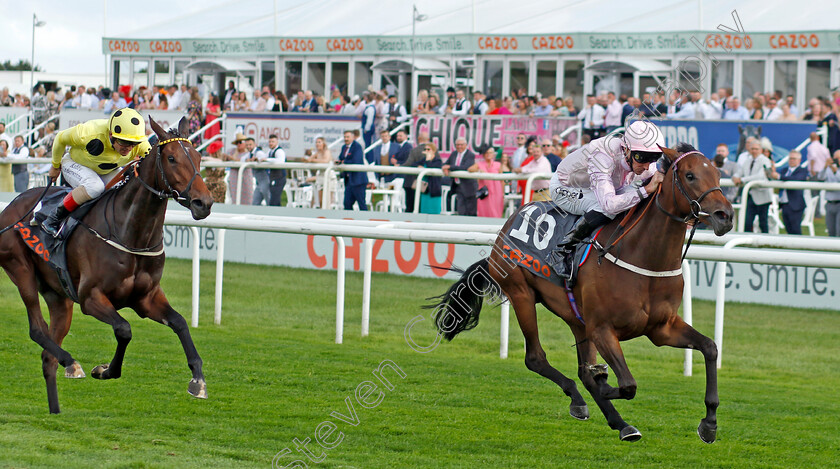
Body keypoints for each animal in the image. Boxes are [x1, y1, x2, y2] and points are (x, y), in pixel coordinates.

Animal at [0, 117, 213, 414]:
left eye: (198, 157)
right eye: (171, 158)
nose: (204, 203)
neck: (131, 232)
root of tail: (12, 206)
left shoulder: (146, 298)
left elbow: (180, 323)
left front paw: (198, 380)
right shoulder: (91, 298)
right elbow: (124, 329)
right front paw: (104, 370)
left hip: (59, 296)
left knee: (47, 355)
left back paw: (56, 404)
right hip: (21, 270)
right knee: (36, 329)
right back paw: (71, 362)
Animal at [430, 144, 732, 440]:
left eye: (718, 174)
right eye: (690, 176)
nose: (725, 216)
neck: (644, 258)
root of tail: (512, 218)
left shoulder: (662, 328)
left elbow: (710, 347)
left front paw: (710, 423)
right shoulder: (602, 329)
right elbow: (627, 384)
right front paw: (602, 381)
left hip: (577, 318)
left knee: (578, 368)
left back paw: (621, 424)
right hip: (521, 294)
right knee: (535, 358)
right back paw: (580, 400)